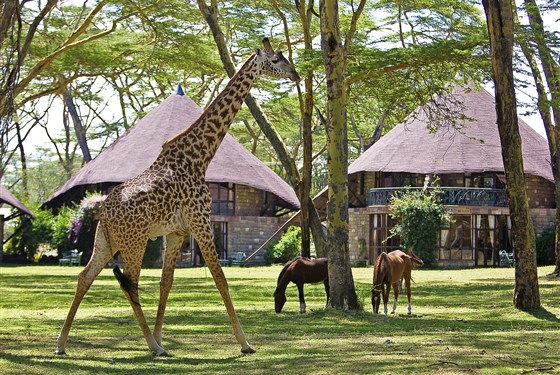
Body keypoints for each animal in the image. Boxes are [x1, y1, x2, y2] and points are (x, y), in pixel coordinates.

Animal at [55, 39, 302, 358]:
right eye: (276, 59)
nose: (295, 74)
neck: (200, 158)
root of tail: (105, 211)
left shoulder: (177, 231)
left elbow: (166, 282)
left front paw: (161, 335)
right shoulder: (201, 222)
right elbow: (220, 277)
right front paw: (245, 342)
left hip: (105, 240)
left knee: (85, 276)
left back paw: (62, 343)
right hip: (134, 241)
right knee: (130, 283)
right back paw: (151, 346)